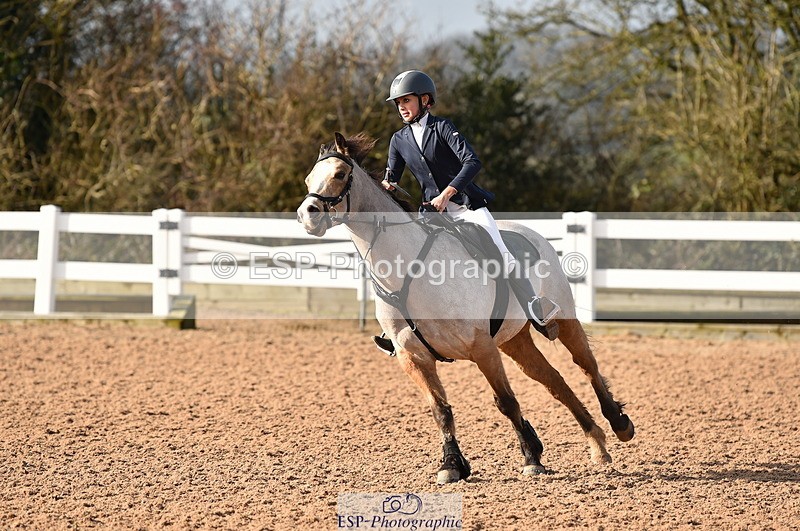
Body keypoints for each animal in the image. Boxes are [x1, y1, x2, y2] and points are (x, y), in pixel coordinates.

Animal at [296, 132, 634, 484]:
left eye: (339, 174)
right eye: (308, 179)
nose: (307, 214)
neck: (409, 271)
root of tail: (532, 232)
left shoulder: (481, 347)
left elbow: (507, 402)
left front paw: (531, 457)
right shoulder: (413, 358)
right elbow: (440, 411)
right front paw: (452, 464)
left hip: (563, 320)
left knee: (586, 364)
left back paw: (619, 425)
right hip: (514, 340)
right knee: (554, 381)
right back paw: (596, 442)